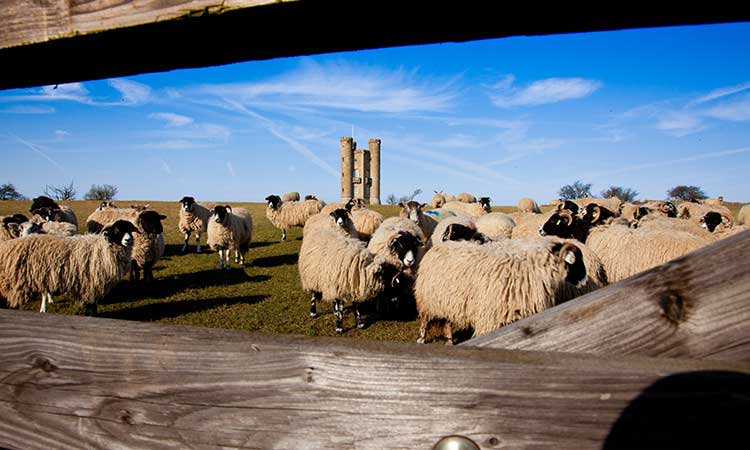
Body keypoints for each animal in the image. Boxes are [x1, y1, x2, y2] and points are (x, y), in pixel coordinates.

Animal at [0, 220, 138, 314]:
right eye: (117, 230)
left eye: (130, 229)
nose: (128, 240)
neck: (103, 248)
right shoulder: (91, 284)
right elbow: (91, 307)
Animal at [414, 237, 592, 342]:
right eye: (577, 262)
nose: (585, 281)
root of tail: (437, 247)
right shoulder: (493, 319)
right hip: (427, 301)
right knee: (425, 321)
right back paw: (422, 339)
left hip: (444, 300)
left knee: (447, 322)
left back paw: (450, 341)